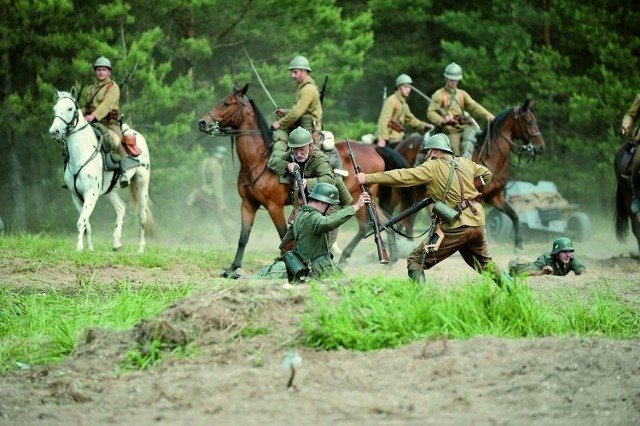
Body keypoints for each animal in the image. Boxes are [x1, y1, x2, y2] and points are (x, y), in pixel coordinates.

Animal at [49, 88, 154, 251]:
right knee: (121, 208)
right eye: (55, 109)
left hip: (142, 183)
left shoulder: (90, 194)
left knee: (142, 216)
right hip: (109, 191)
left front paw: (79, 248)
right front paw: (90, 249)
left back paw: (140, 249)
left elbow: (81, 221)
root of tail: (138, 136)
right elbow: (87, 224)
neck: (82, 153)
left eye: (70, 108)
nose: (55, 132)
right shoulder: (76, 196)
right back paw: (117, 243)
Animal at [198, 83, 408, 276]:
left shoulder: (274, 207)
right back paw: (389, 259)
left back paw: (353, 256)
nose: (203, 122)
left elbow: (284, 234)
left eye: (227, 102)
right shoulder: (248, 204)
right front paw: (233, 267)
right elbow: (243, 237)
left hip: (360, 194)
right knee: (382, 221)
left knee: (366, 225)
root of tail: (374, 149)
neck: (259, 160)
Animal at [390, 100, 544, 251]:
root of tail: (401, 145)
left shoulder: (494, 196)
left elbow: (514, 215)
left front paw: (519, 245)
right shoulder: (479, 197)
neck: (491, 157)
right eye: (528, 120)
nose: (540, 147)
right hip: (408, 191)